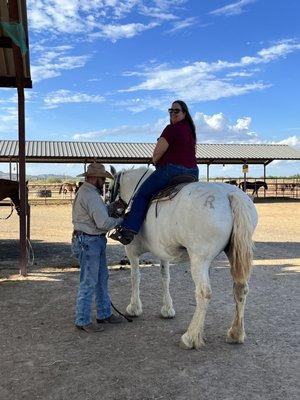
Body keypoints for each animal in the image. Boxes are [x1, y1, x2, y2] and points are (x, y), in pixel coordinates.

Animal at [110, 167, 258, 348]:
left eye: (110, 188)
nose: (110, 209)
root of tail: (230, 195)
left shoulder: (131, 251)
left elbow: (135, 277)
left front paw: (134, 307)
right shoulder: (163, 252)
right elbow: (165, 277)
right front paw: (167, 309)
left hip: (199, 260)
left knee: (204, 293)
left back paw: (191, 337)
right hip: (232, 254)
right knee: (240, 289)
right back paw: (235, 333)